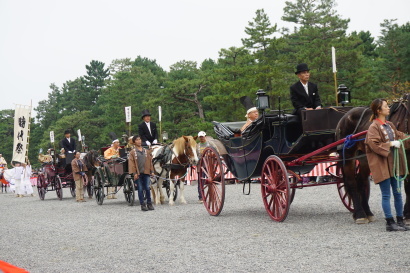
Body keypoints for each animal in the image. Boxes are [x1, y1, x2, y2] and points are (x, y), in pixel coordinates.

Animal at [336, 93, 410, 223]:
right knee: (352, 182)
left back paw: (367, 212)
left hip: (365, 159)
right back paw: (360, 214)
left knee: (361, 182)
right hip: (348, 157)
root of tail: (344, 117)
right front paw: (407, 214)